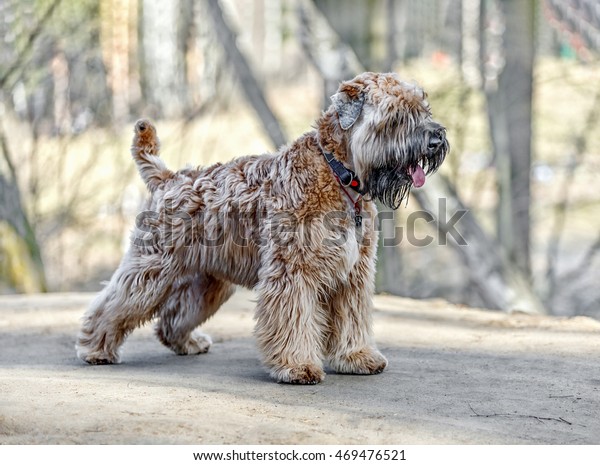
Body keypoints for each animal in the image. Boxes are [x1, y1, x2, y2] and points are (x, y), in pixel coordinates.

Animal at [75, 72, 448, 382]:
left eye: (422, 108)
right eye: (396, 115)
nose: (436, 139)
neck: (338, 173)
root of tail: (168, 178)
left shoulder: (352, 275)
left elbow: (351, 319)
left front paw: (356, 356)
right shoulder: (293, 272)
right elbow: (293, 320)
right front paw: (296, 366)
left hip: (207, 282)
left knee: (172, 318)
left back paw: (188, 342)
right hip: (151, 269)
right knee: (113, 305)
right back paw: (95, 348)